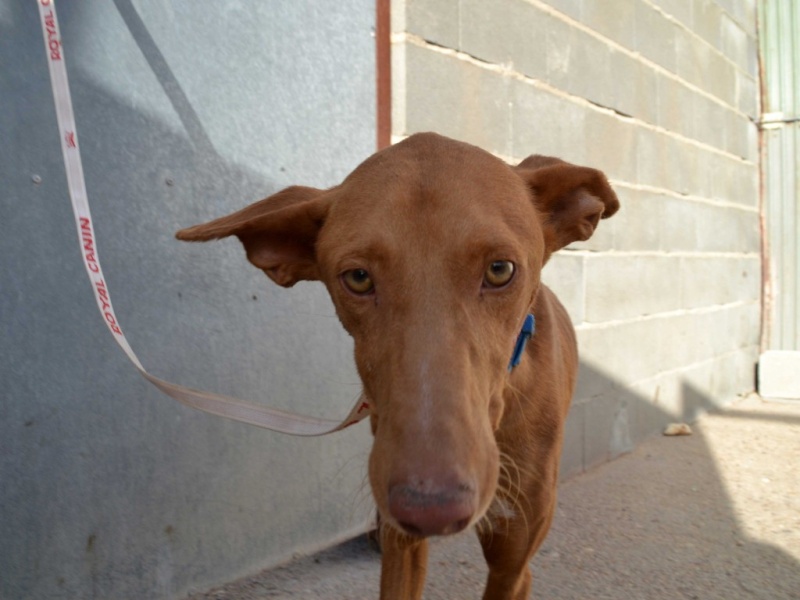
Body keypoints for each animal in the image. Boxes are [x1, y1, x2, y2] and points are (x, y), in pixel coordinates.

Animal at [177, 134, 620, 596]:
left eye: (500, 269)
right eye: (357, 278)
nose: (430, 507)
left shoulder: (509, 560)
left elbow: (512, 568)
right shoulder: (400, 545)